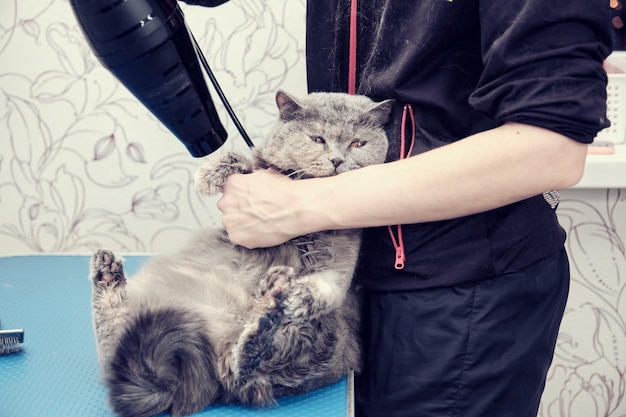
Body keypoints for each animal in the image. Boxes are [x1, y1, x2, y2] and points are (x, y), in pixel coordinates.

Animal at [89, 91, 390, 416]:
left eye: (357, 143)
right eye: (318, 138)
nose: (337, 160)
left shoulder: (340, 265)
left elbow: (324, 286)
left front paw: (300, 295)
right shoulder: (259, 170)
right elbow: (244, 161)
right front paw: (209, 173)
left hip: (315, 339)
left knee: (244, 367)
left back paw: (271, 305)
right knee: (114, 342)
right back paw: (107, 275)